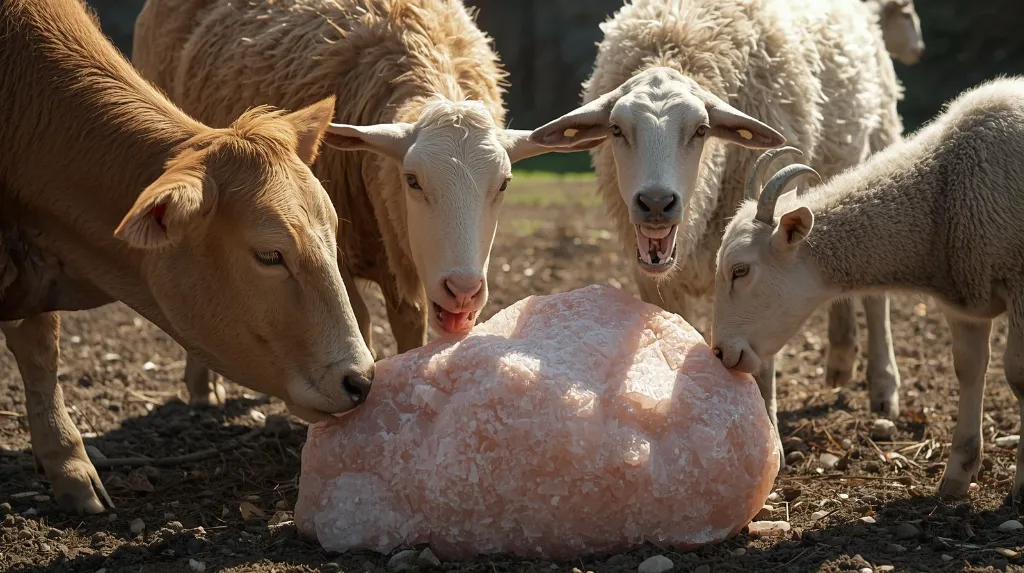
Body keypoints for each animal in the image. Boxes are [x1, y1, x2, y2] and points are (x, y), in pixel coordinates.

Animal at [131, 0, 593, 401]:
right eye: (412, 180)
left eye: (504, 183)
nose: (463, 291)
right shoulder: (333, 243)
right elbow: (362, 318)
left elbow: (410, 320)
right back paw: (202, 387)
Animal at [528, 0, 905, 458]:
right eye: (616, 129)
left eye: (702, 129)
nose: (656, 202)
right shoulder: (652, 278)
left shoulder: (764, 256)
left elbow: (761, 351)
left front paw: (768, 438)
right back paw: (840, 360)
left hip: (880, 137)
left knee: (877, 298)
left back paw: (884, 387)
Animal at [711, 76, 1024, 510]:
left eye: (740, 270)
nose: (722, 352)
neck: (943, 199)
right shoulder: (964, 300)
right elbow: (968, 367)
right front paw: (956, 476)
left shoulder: (1019, 283)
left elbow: (1019, 375)